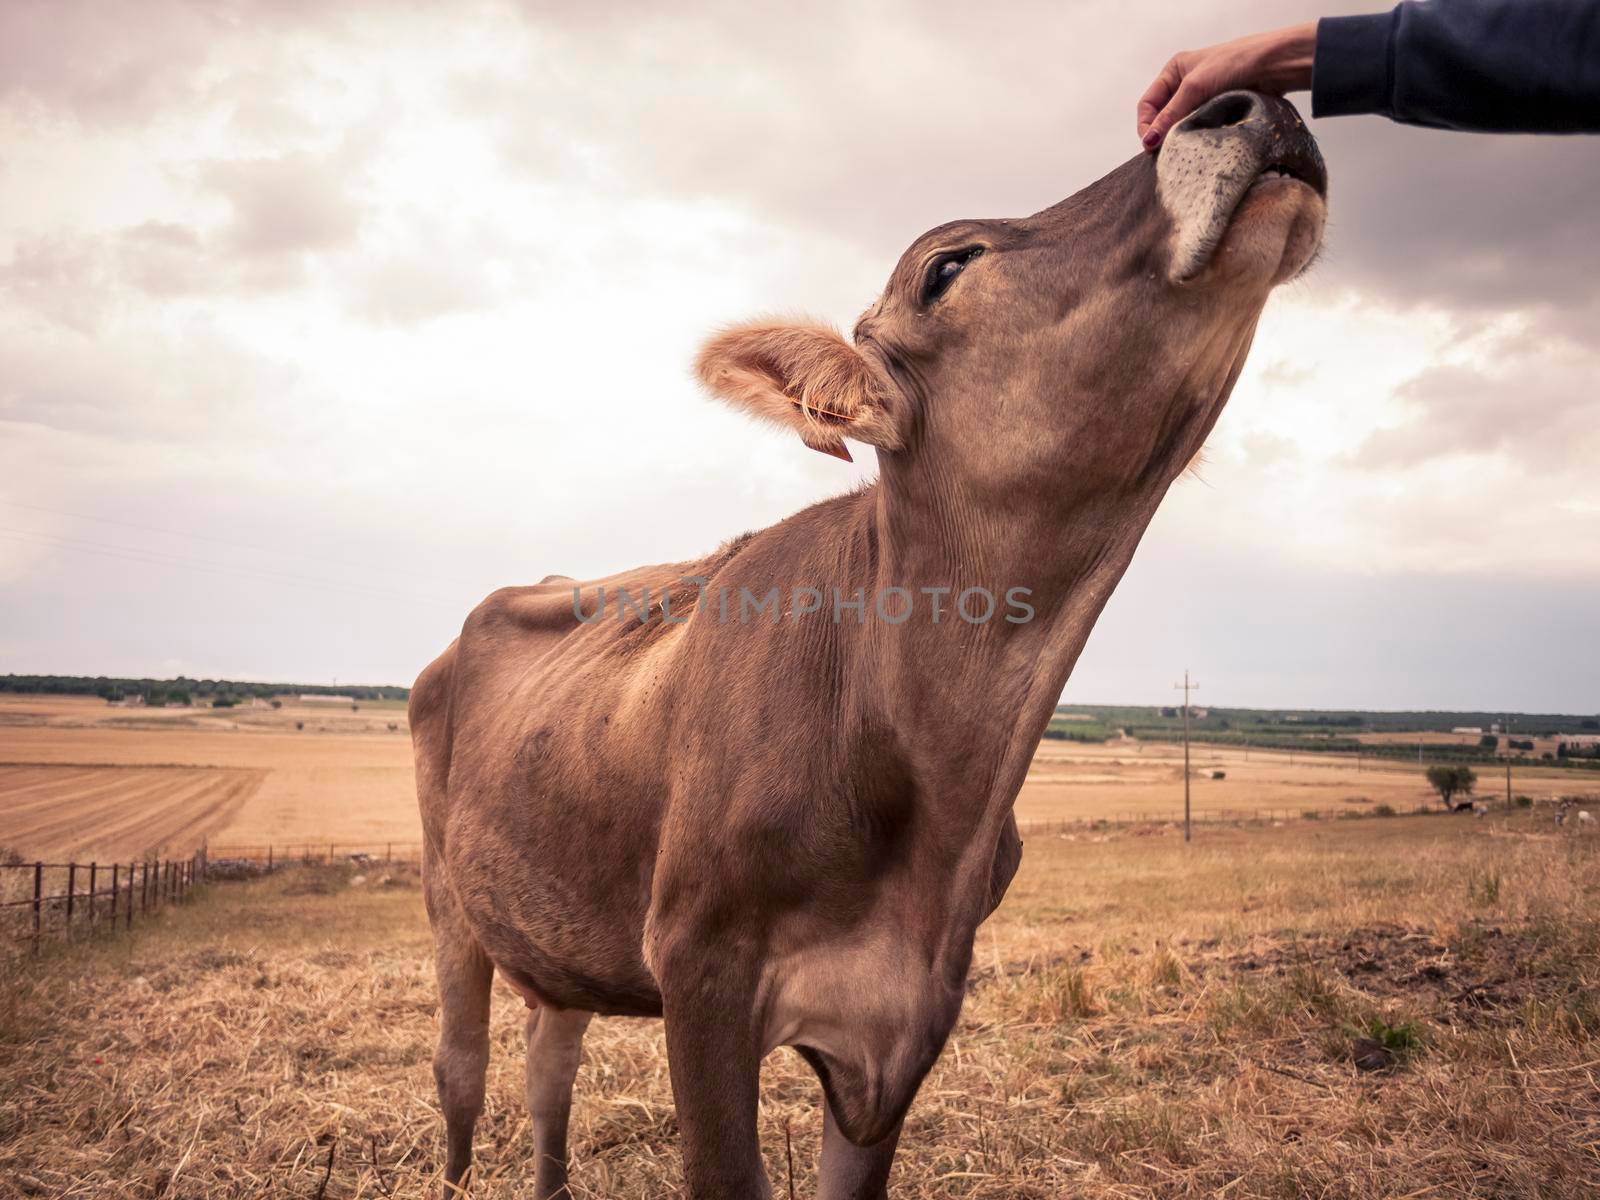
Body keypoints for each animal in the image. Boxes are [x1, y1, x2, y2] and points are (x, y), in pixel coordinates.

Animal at [409, 89, 1324, 1196]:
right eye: (945, 265)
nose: (1252, 99)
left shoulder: (907, 1014)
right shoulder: (700, 973)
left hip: (556, 922)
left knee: (551, 1060)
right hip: (448, 897)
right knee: (462, 1068)